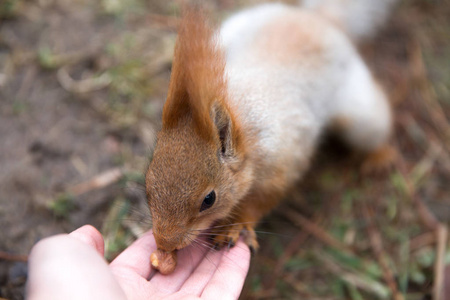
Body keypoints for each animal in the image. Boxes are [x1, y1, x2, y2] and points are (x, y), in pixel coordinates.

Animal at [146, 0, 396, 274]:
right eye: (148, 183)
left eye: (209, 200)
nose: (164, 243)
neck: (243, 122)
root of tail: (316, 18)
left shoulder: (283, 165)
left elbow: (262, 201)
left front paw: (236, 225)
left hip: (359, 112)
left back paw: (380, 156)